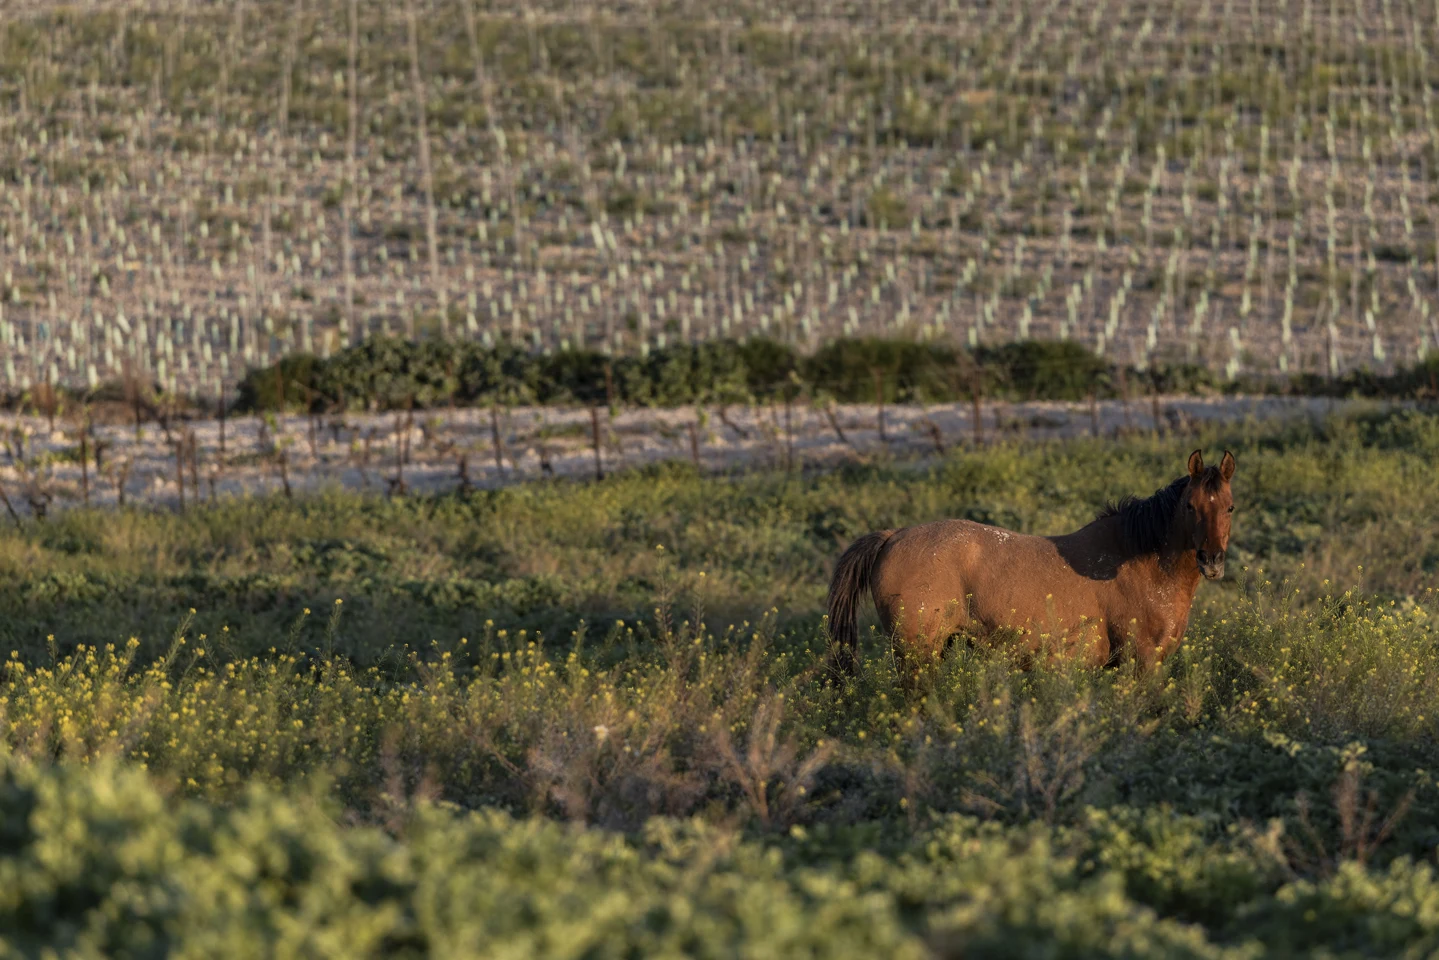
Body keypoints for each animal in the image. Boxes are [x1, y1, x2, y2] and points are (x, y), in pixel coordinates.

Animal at [825, 449, 1236, 683]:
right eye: (1190, 506)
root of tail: (893, 536)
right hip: (916, 655)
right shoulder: (1144, 663)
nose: (1212, 561)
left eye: (1229, 507)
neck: (1138, 560)